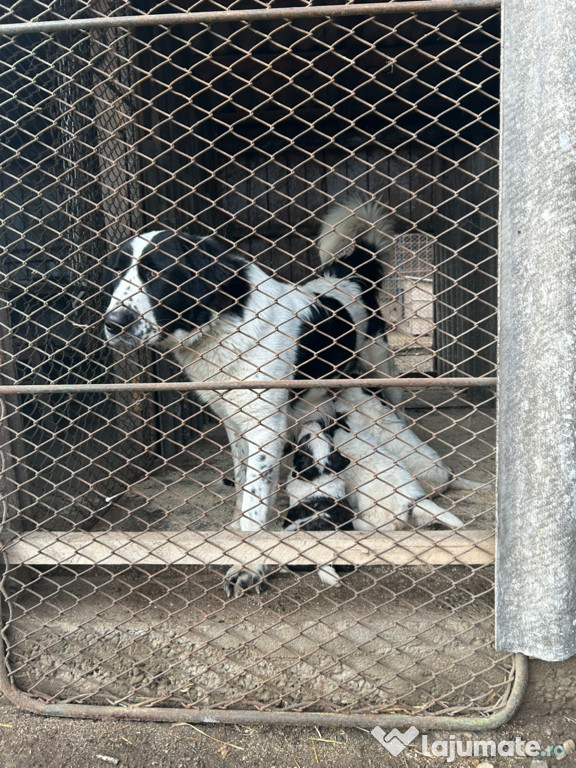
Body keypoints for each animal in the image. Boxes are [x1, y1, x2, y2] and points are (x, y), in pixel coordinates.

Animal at [104, 201, 468, 596]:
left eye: (159, 272)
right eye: (117, 274)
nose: (113, 323)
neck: (226, 322)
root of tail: (347, 274)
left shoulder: (266, 425)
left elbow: (254, 498)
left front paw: (247, 564)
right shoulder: (235, 421)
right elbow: (243, 483)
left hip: (382, 370)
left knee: (396, 411)